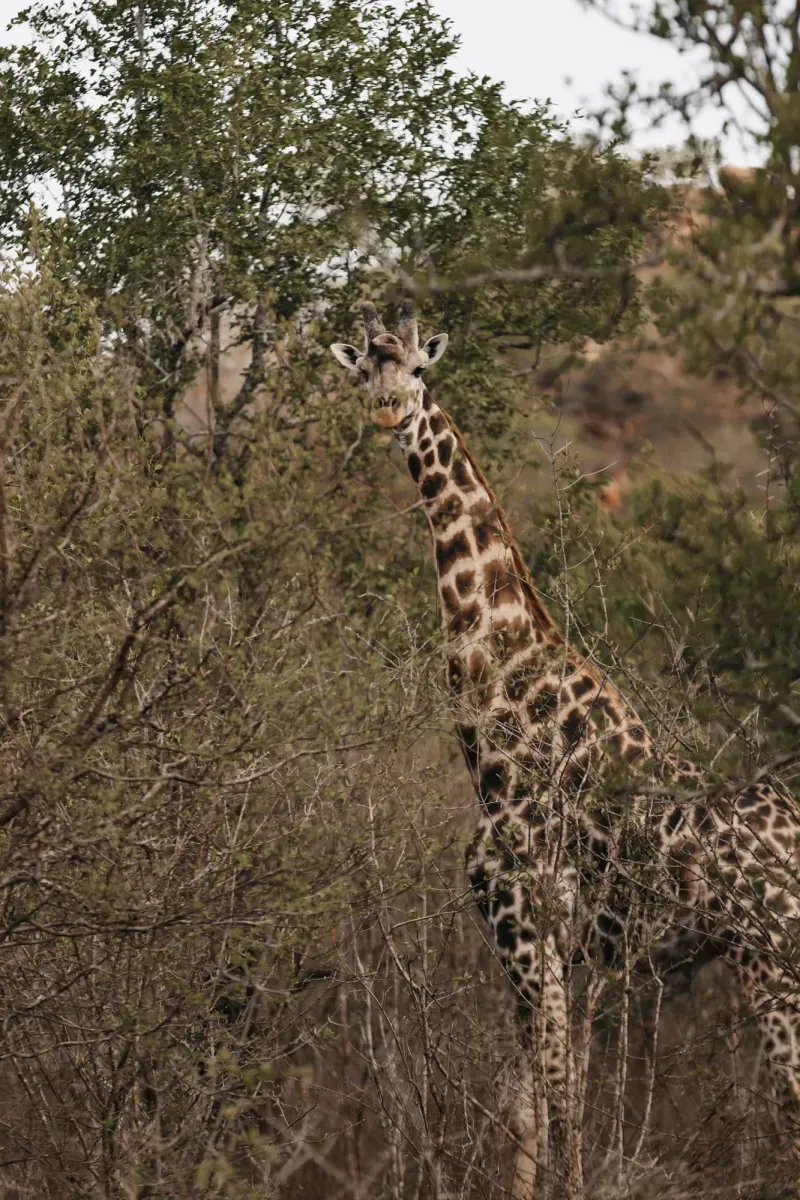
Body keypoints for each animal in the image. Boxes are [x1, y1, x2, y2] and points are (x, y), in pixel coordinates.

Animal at [331, 301, 800, 1197]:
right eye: (363, 367)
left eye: (418, 369)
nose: (387, 413)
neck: (496, 724)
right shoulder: (537, 945)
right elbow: (529, 1103)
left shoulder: (529, 922)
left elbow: (557, 1093)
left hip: (775, 964)